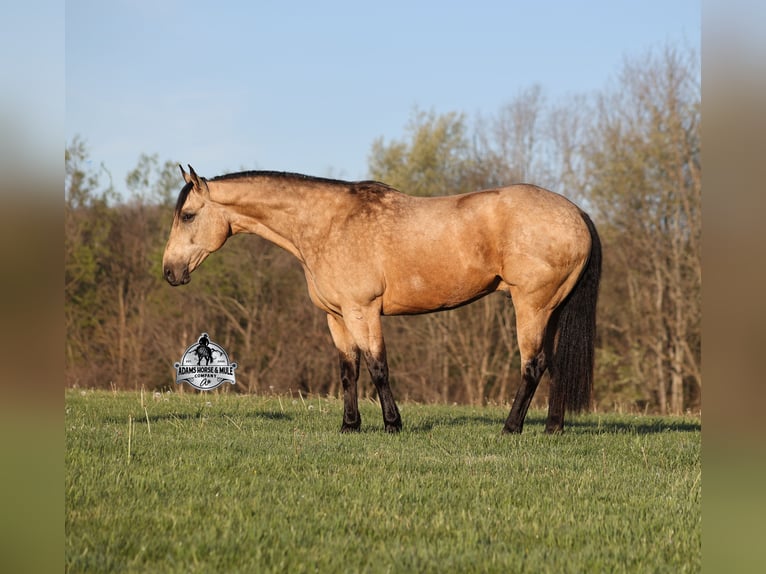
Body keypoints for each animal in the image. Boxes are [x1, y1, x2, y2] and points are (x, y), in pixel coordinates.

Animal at [163, 165, 601, 434]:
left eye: (187, 215)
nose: (170, 272)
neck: (328, 223)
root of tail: (577, 212)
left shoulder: (364, 310)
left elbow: (378, 367)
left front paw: (392, 424)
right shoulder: (337, 317)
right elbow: (349, 371)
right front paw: (349, 425)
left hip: (532, 306)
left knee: (533, 365)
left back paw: (511, 428)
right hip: (553, 309)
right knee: (554, 365)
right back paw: (553, 427)